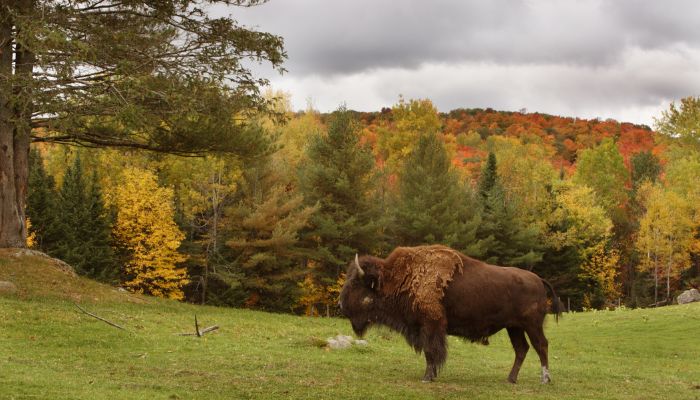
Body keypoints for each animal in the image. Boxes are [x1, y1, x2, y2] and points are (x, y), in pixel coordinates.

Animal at [336, 244, 560, 384]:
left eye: (356, 283)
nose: (339, 304)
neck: (400, 278)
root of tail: (538, 279)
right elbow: (430, 352)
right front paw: (432, 375)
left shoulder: (431, 325)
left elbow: (431, 351)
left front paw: (427, 377)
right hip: (514, 328)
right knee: (522, 349)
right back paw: (511, 379)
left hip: (532, 325)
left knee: (541, 345)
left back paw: (545, 379)